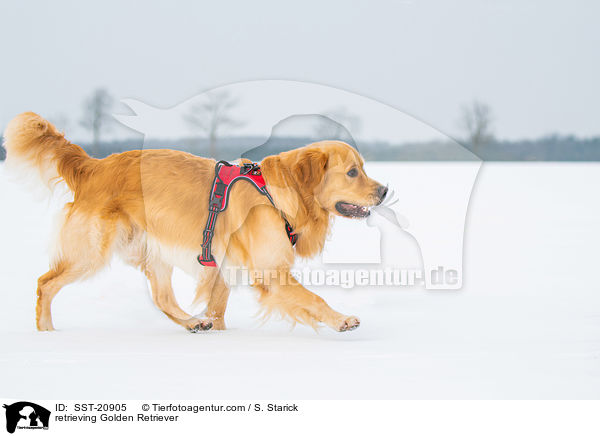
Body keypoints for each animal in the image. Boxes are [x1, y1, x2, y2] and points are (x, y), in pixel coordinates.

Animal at [2, 114, 386, 332]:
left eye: (362, 168)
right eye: (353, 172)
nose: (384, 190)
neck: (277, 195)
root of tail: (93, 166)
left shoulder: (223, 268)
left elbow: (217, 310)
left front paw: (215, 330)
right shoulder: (270, 272)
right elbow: (314, 299)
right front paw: (341, 320)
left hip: (153, 251)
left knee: (162, 299)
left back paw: (192, 322)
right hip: (91, 252)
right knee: (45, 283)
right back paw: (47, 334)